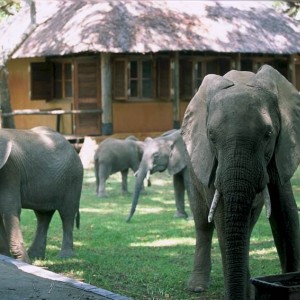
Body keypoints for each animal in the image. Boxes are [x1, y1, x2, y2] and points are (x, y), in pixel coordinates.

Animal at [0, 126, 83, 262]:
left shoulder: (10, 171)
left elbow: (9, 210)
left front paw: (23, 262)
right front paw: (7, 258)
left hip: (73, 177)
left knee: (67, 214)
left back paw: (64, 257)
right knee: (43, 216)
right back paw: (36, 256)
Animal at [180, 64, 300, 298]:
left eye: (268, 134)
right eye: (211, 136)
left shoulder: (282, 149)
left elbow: (286, 213)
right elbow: (222, 216)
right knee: (203, 222)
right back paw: (197, 286)